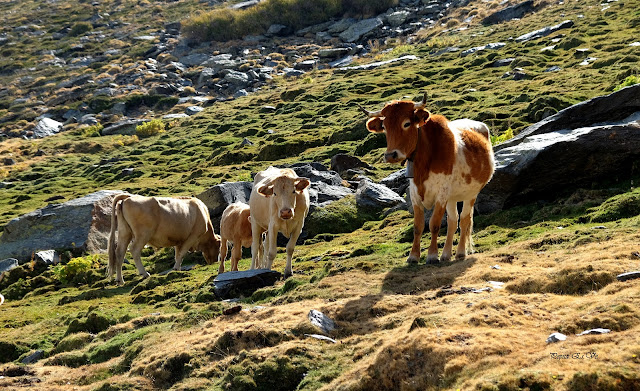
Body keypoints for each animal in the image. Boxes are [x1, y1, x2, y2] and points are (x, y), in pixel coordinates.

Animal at [360, 92, 496, 264]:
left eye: (407, 123)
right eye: (384, 127)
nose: (391, 155)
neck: (423, 163)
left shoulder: (441, 194)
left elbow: (434, 224)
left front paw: (432, 255)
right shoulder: (415, 193)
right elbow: (418, 226)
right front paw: (413, 256)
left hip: (470, 194)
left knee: (464, 220)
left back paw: (460, 253)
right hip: (452, 197)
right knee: (453, 221)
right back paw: (446, 255)